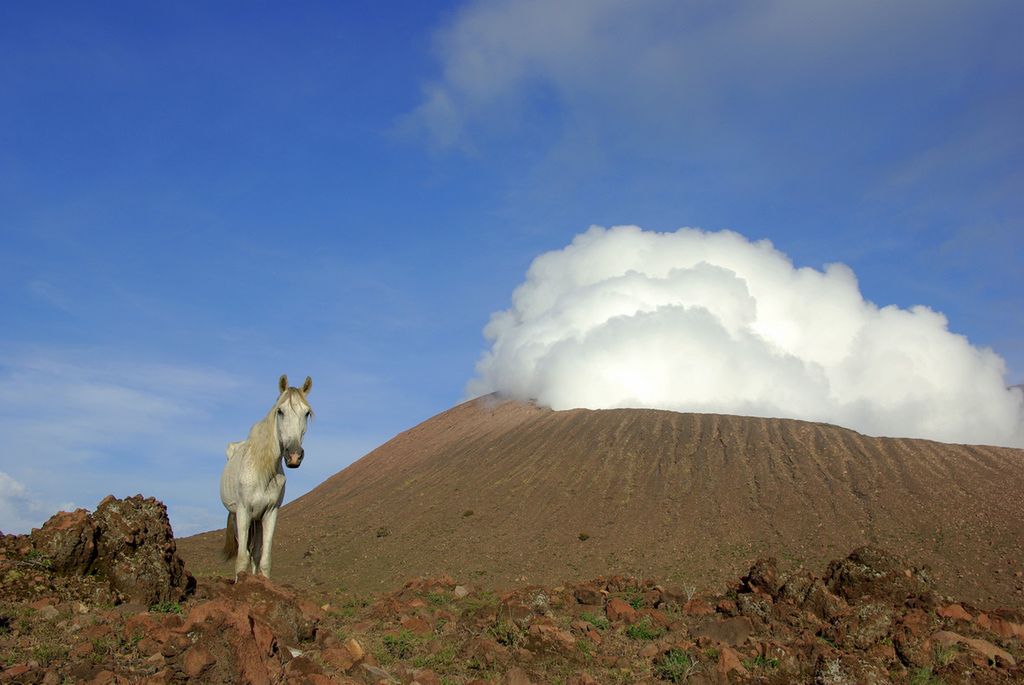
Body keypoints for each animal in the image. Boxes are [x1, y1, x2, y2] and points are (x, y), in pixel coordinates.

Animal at [218, 374, 309, 577]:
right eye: (280, 411)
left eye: (307, 413)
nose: (294, 455)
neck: (263, 473)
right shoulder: (243, 511)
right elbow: (241, 559)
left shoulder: (270, 513)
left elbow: (264, 559)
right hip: (238, 517)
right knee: (245, 552)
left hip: (257, 520)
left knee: (255, 553)